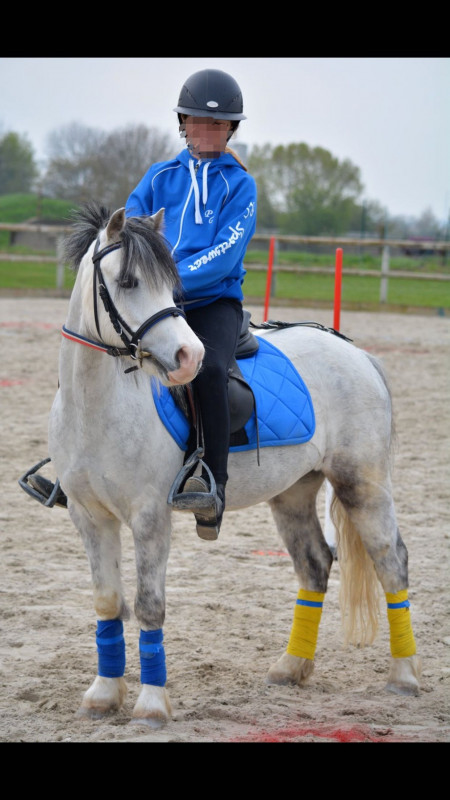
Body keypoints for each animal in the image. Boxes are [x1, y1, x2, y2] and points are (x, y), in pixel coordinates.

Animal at [19, 201, 421, 728]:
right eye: (127, 282)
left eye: (172, 285)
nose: (190, 355)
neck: (98, 404)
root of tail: (355, 351)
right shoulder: (89, 517)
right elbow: (108, 603)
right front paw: (103, 695)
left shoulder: (150, 518)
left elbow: (149, 606)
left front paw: (152, 705)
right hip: (293, 492)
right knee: (315, 564)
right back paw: (290, 668)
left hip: (363, 485)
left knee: (392, 563)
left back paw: (404, 678)